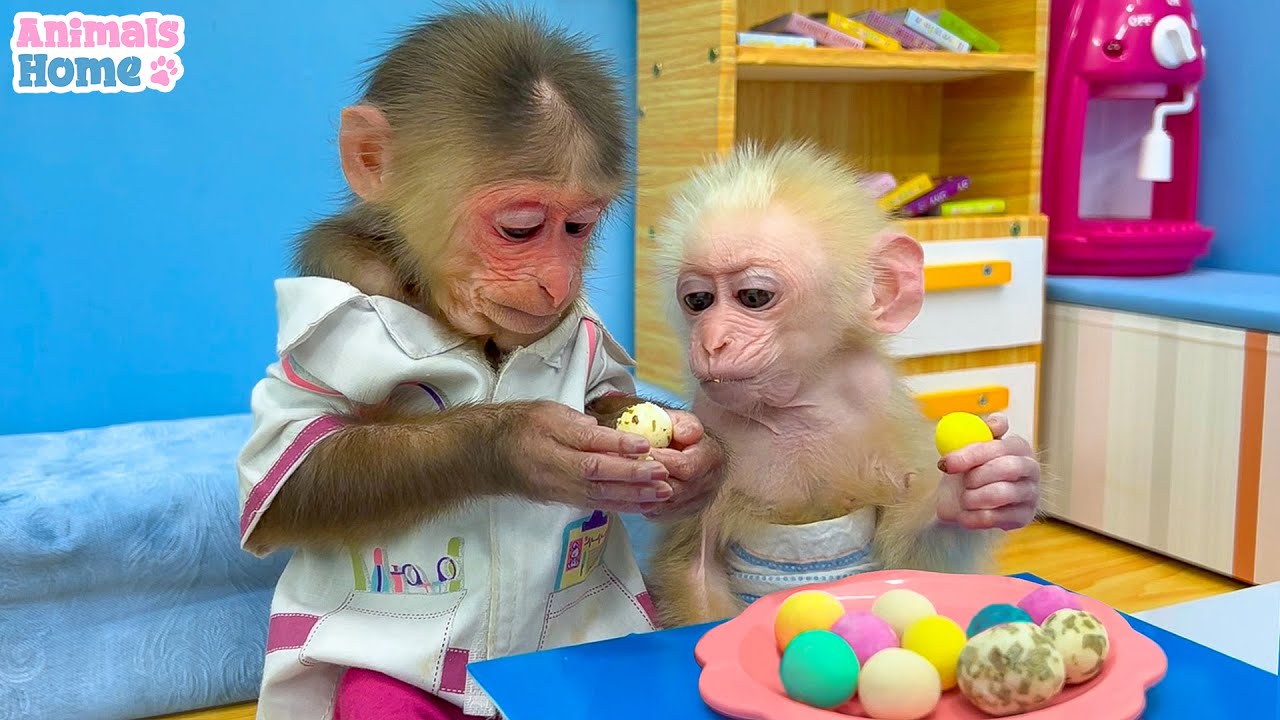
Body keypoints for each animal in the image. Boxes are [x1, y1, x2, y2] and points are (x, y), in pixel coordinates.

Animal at [234, 7, 724, 720]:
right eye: (520, 229)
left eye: (576, 228)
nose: (558, 279)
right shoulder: (327, 318)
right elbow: (302, 456)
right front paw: (519, 444)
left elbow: (605, 391)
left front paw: (699, 460)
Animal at [643, 141, 1042, 628]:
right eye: (699, 301)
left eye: (753, 297)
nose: (712, 341)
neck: (800, 405)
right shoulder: (712, 419)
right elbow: (695, 572)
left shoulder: (881, 407)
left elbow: (913, 561)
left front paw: (971, 494)